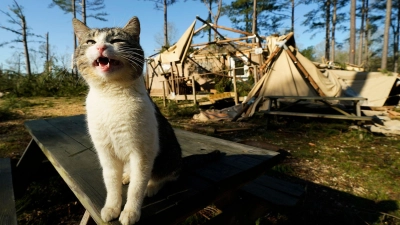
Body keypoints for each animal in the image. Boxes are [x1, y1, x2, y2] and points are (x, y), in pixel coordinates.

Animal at [72, 16, 182, 224]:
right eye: (90, 41)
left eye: (117, 40)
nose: (101, 47)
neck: (110, 96)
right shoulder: (105, 151)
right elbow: (111, 182)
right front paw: (112, 207)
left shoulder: (142, 153)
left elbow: (137, 188)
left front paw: (131, 212)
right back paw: (126, 176)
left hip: (169, 155)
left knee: (166, 176)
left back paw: (151, 187)